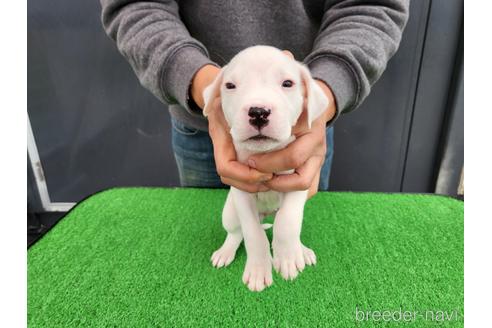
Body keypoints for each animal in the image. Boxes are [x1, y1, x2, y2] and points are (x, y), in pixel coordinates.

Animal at [202, 44, 328, 290]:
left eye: (287, 83)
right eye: (230, 86)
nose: (258, 112)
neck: (264, 152)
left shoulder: (299, 180)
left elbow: (287, 222)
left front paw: (288, 258)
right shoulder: (242, 191)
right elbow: (252, 233)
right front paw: (259, 268)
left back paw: (301, 251)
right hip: (229, 212)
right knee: (236, 233)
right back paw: (226, 251)